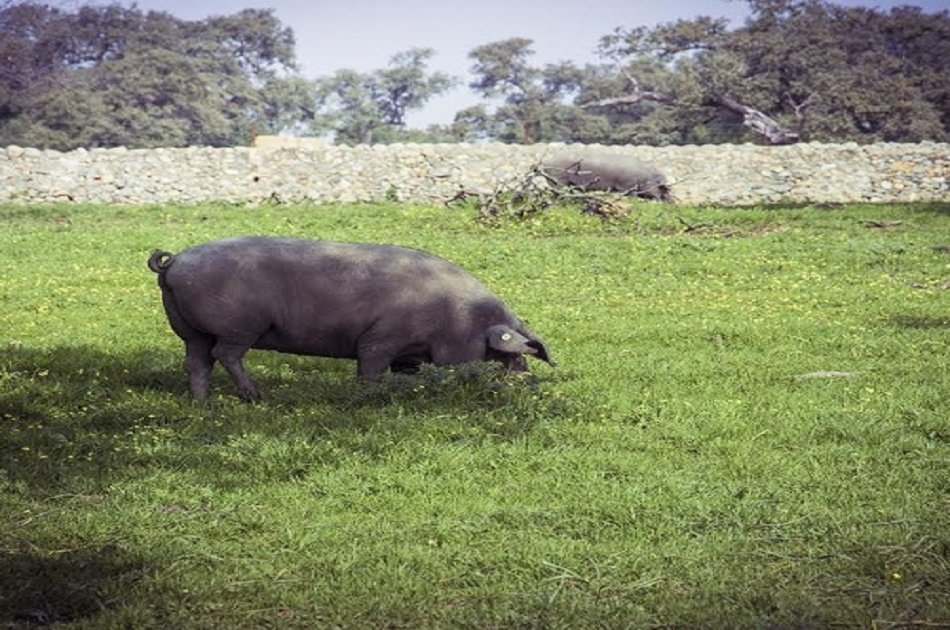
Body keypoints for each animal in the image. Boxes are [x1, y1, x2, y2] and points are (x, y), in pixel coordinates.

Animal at [147, 237, 553, 400]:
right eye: (503, 354)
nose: (528, 385)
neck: (454, 316)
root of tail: (175, 261)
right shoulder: (382, 337)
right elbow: (370, 367)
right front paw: (366, 396)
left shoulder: (409, 353)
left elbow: (407, 375)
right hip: (239, 326)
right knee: (226, 355)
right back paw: (255, 396)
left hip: (188, 329)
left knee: (196, 362)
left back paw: (203, 402)